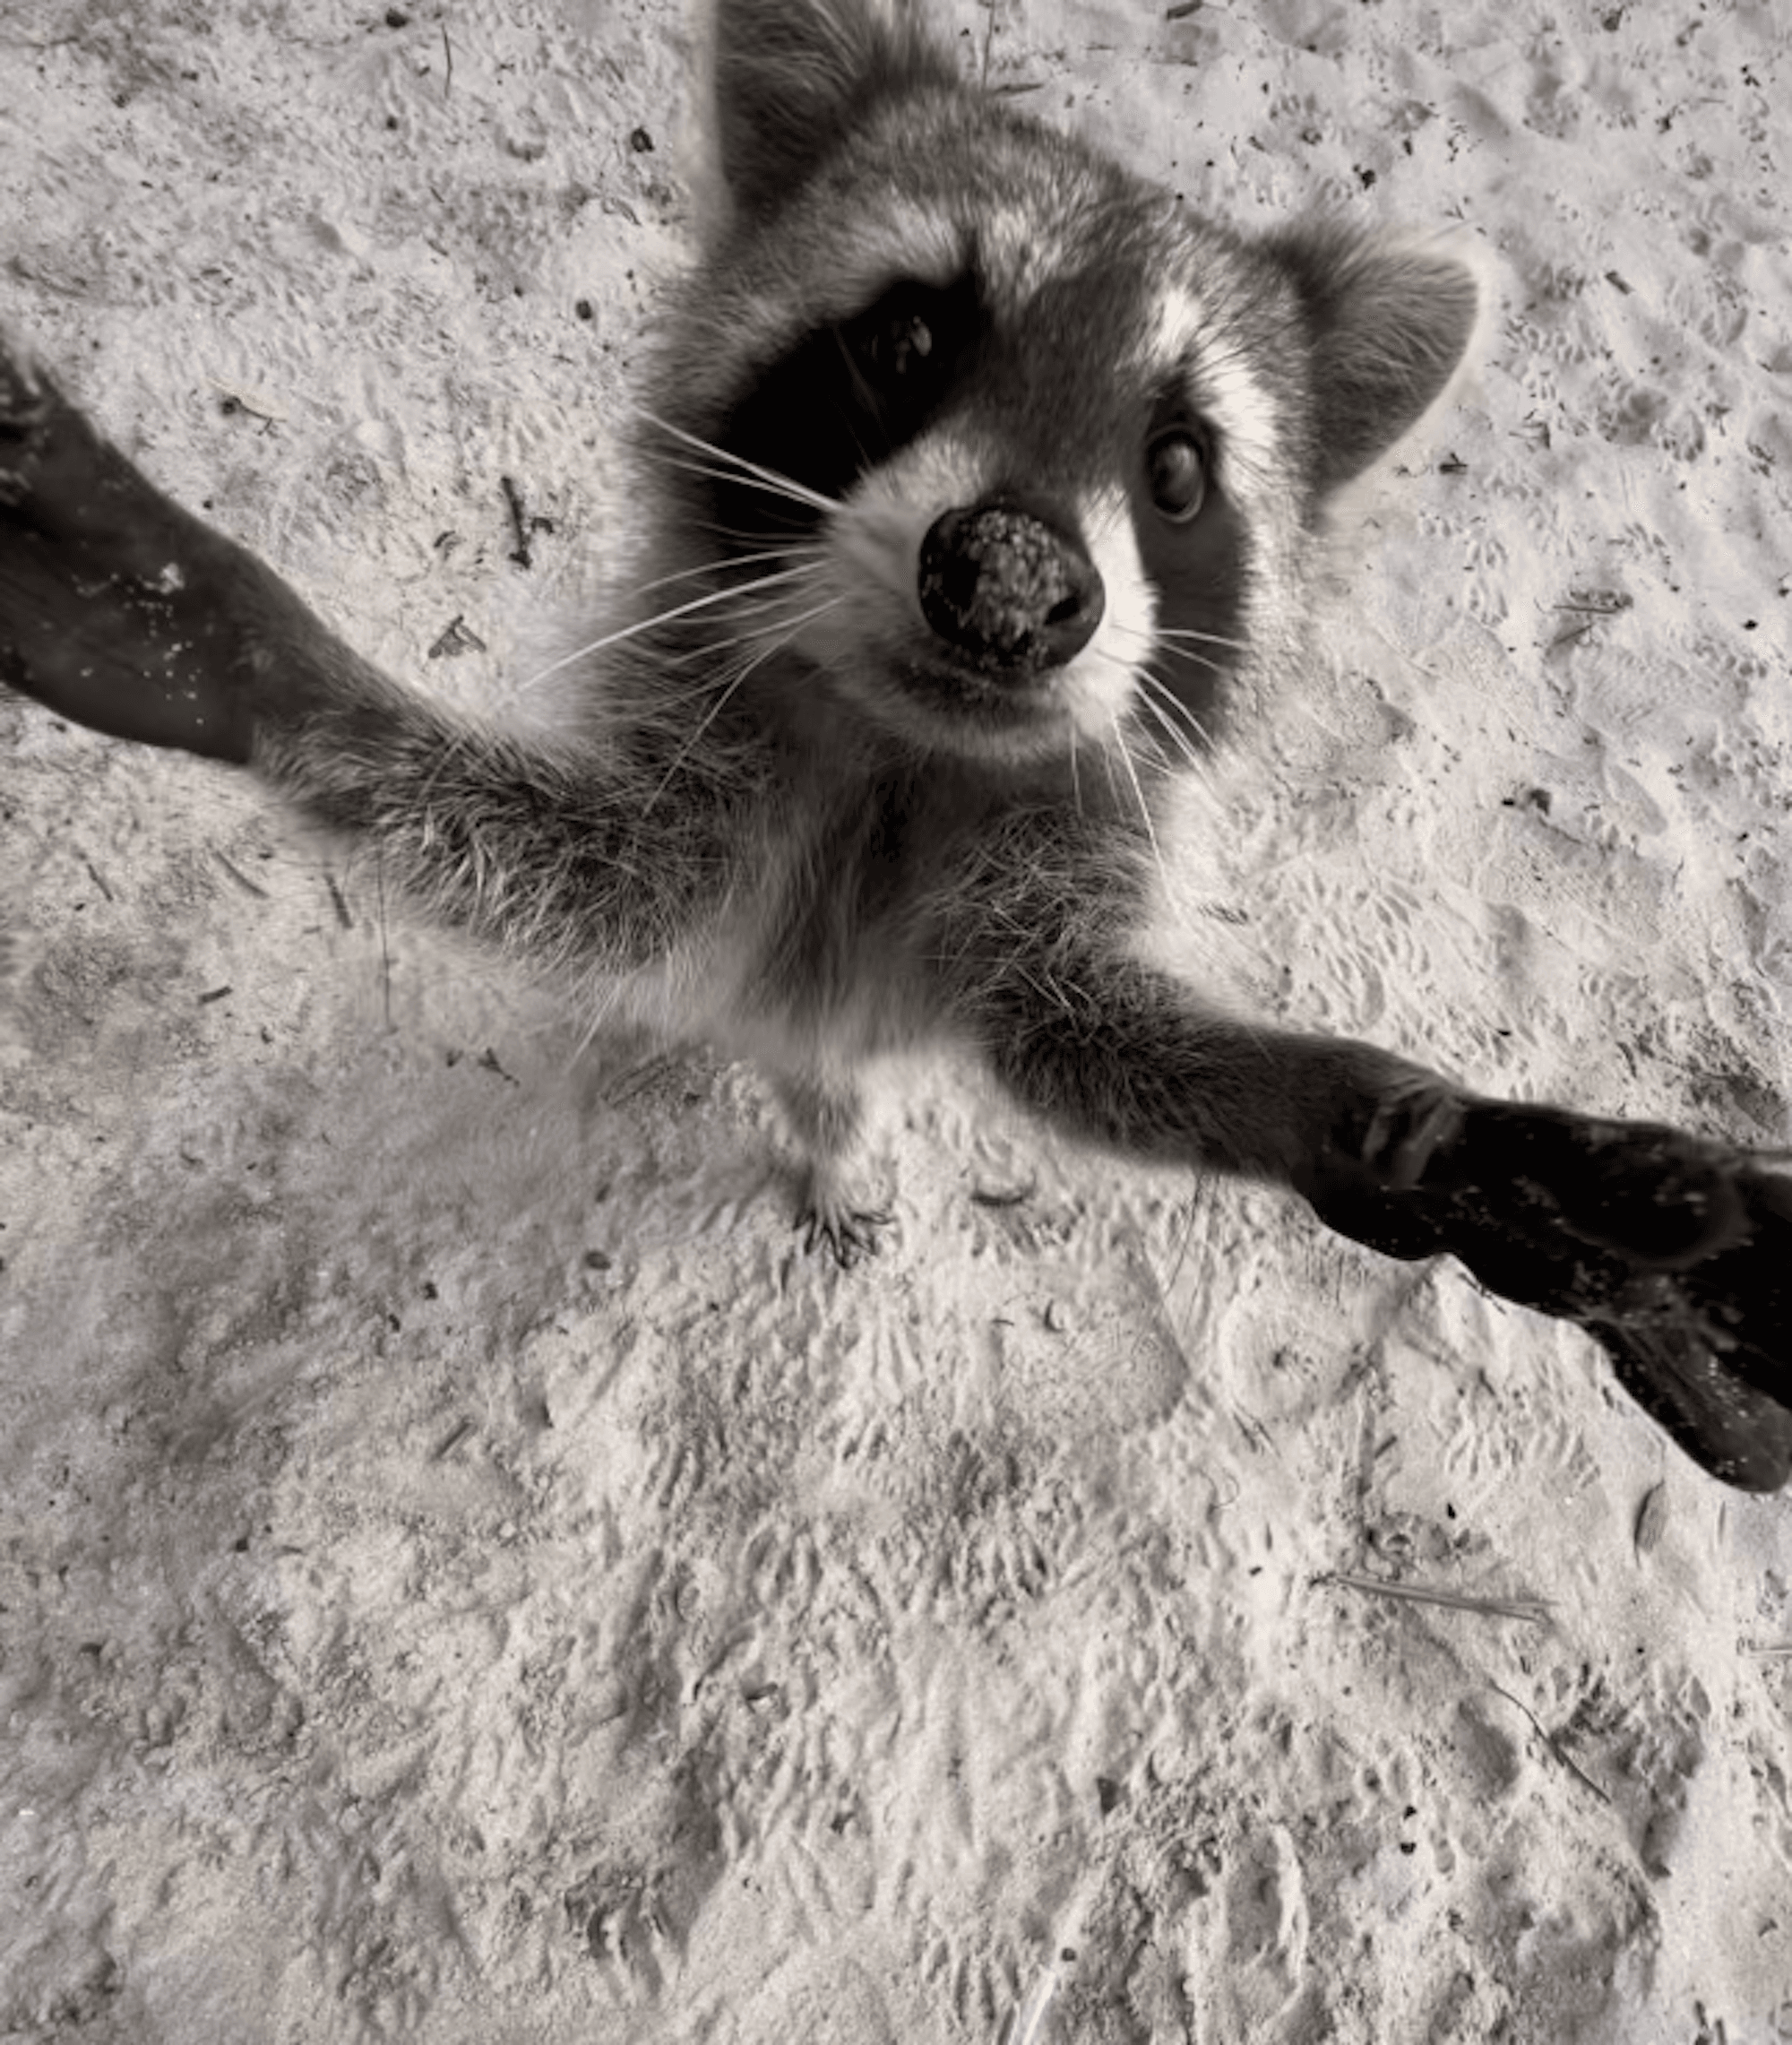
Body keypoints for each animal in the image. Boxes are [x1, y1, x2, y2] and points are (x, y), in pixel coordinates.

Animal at [2, 0, 1790, 1487]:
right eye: (908, 341)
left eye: (1180, 470)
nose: (1006, 582)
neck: (904, 745)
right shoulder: (713, 737)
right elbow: (603, 880)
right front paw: (276, 669)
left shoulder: (1067, 836)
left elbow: (1079, 1030)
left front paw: (1359, 1108)